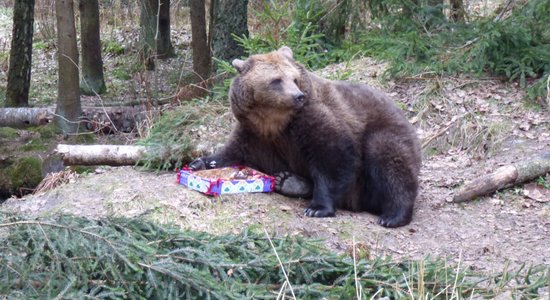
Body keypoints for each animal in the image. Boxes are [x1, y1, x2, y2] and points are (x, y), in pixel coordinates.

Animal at [190, 46, 422, 227]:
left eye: (294, 78)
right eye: (276, 80)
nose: (298, 96)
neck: (275, 121)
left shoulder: (311, 120)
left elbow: (334, 157)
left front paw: (318, 208)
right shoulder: (255, 134)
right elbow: (233, 153)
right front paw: (199, 162)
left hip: (386, 131)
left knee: (388, 160)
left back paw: (392, 216)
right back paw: (289, 181)